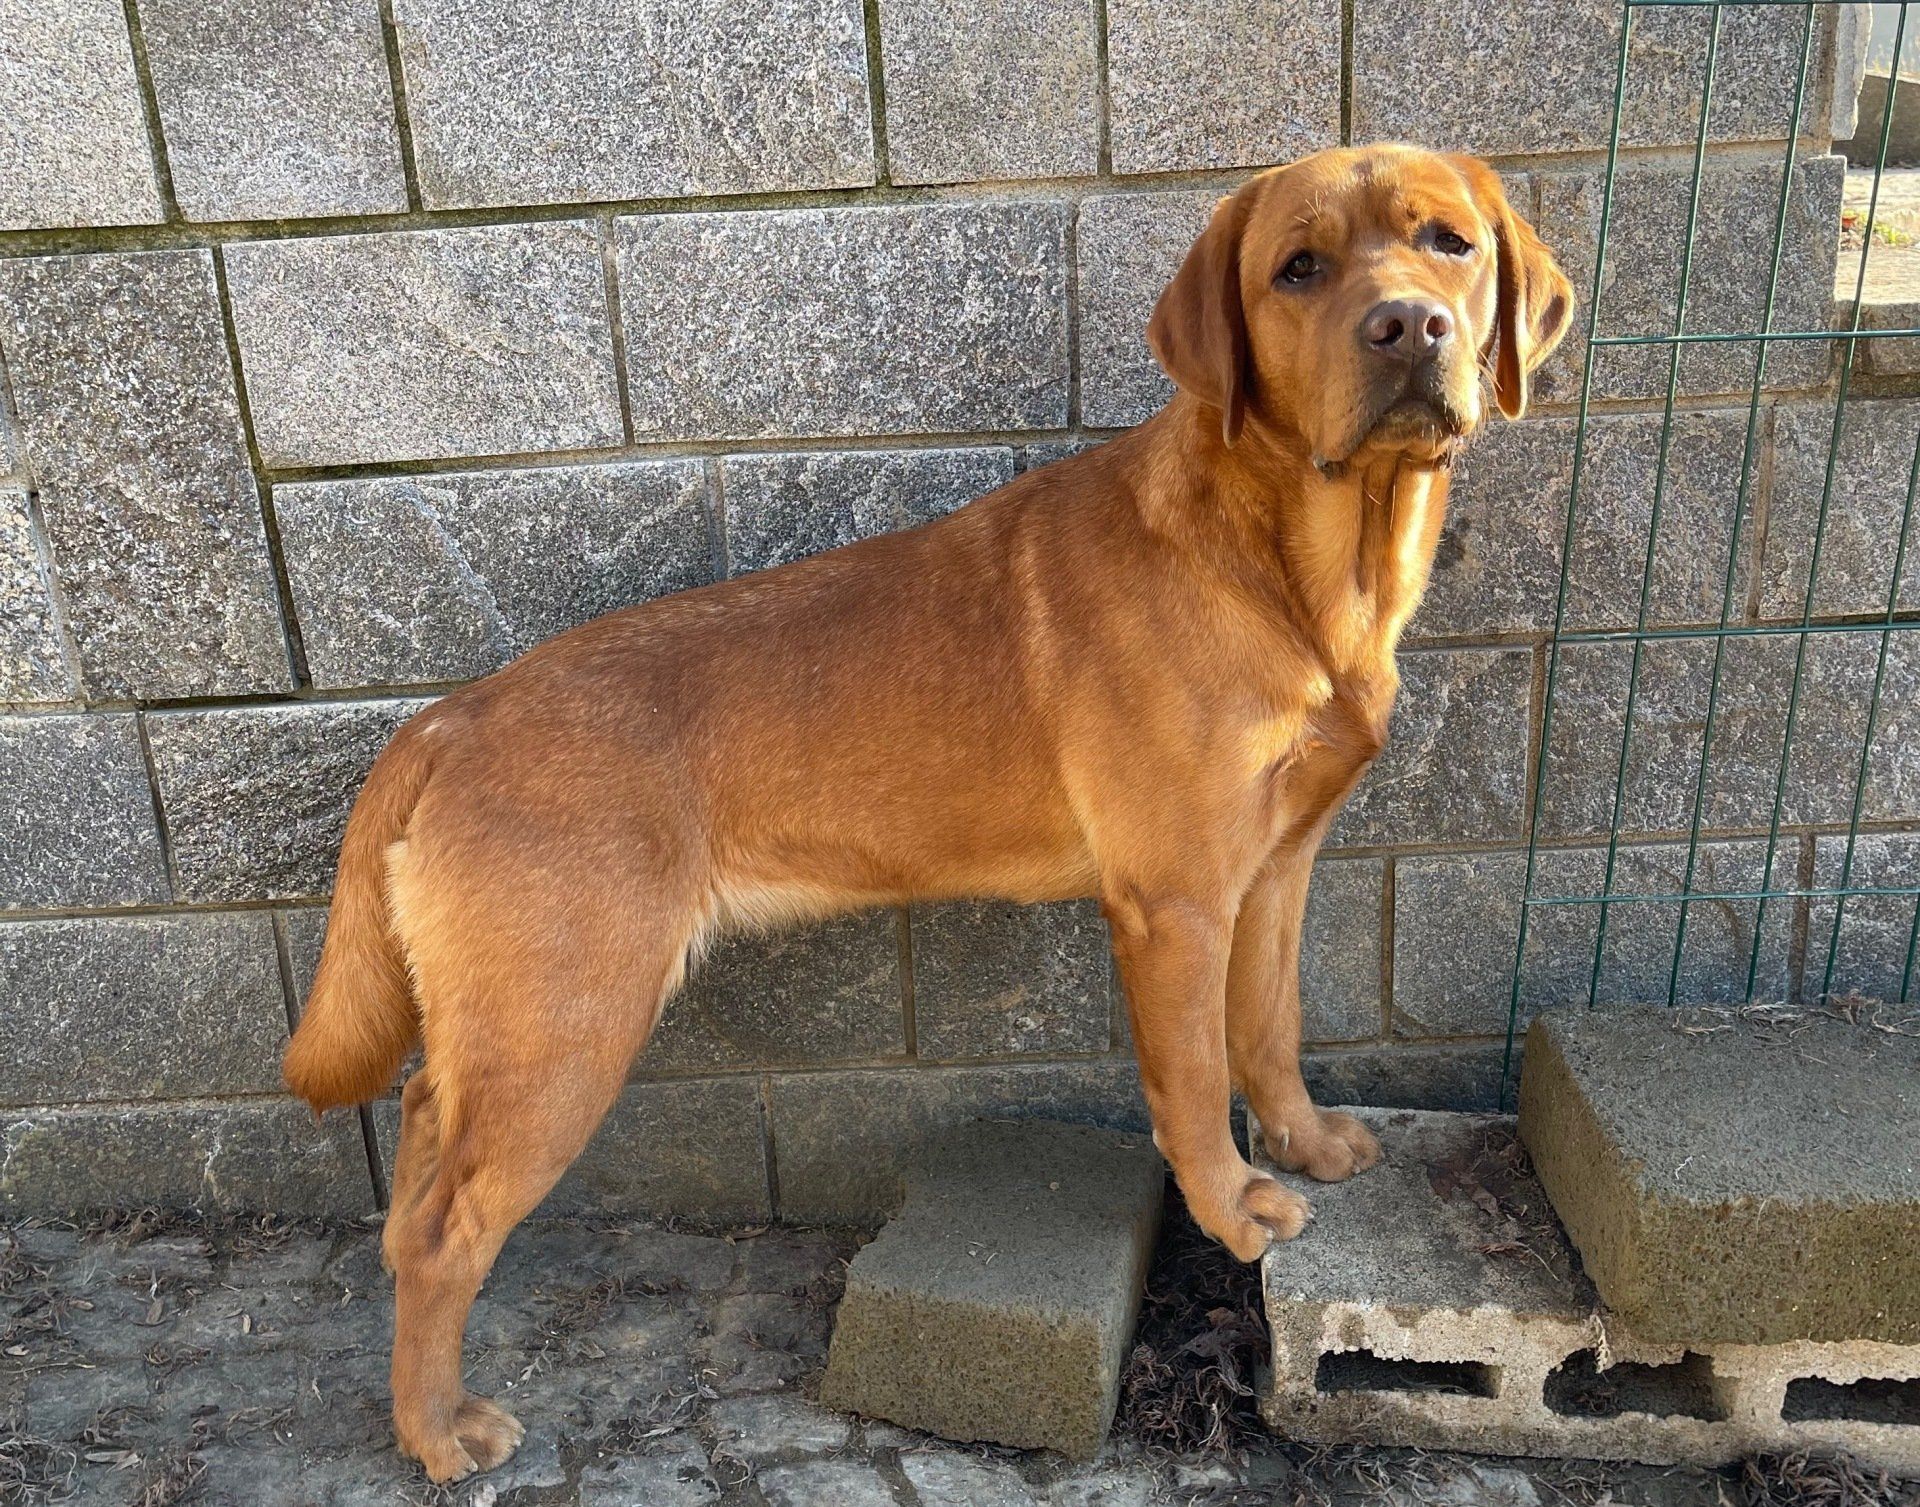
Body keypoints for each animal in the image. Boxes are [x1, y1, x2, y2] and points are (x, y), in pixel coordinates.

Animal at [283, 142, 1572, 1482]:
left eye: (1450, 243)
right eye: (1300, 268)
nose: (1408, 325)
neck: (1294, 565)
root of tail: (445, 720)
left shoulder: (1274, 872)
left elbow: (1268, 1030)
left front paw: (1306, 1139)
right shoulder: (1174, 904)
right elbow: (1193, 1078)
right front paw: (1231, 1206)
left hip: (505, 1023)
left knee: (418, 1144)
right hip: (566, 1024)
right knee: (447, 1230)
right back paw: (435, 1428)